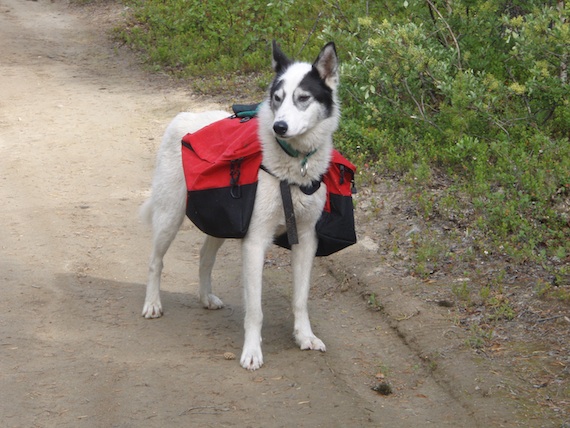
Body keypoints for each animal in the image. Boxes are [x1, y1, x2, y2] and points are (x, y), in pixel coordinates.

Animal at [140, 41, 340, 370]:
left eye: (303, 98)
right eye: (277, 98)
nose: (279, 127)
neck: (293, 166)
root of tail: (182, 116)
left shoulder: (306, 239)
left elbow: (300, 299)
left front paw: (304, 336)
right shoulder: (255, 242)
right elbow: (255, 310)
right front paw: (252, 351)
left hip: (221, 220)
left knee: (204, 258)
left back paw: (205, 297)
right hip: (170, 216)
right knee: (156, 262)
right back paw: (152, 303)